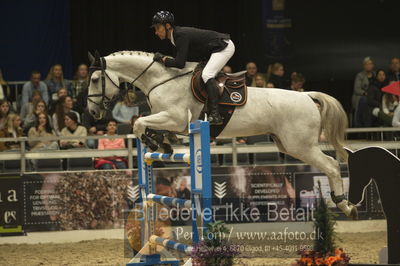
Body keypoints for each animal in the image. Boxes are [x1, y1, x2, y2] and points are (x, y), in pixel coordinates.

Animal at [86, 51, 356, 219]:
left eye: (96, 78)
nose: (92, 112)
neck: (161, 80)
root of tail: (307, 95)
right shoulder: (170, 120)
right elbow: (145, 124)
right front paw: (164, 144)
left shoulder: (175, 117)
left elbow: (139, 124)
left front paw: (155, 142)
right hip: (289, 145)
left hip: (300, 145)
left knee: (331, 165)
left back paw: (345, 205)